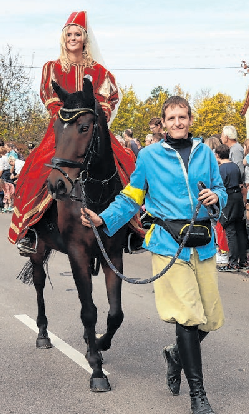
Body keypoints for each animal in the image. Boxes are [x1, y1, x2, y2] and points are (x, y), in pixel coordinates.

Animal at [19, 77, 126, 392]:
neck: (97, 198)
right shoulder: (78, 253)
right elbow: (88, 310)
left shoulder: (112, 255)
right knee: (39, 285)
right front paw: (96, 369)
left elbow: (114, 313)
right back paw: (43, 334)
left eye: (84, 127)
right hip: (39, 250)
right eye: (56, 128)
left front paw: (100, 344)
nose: (56, 184)